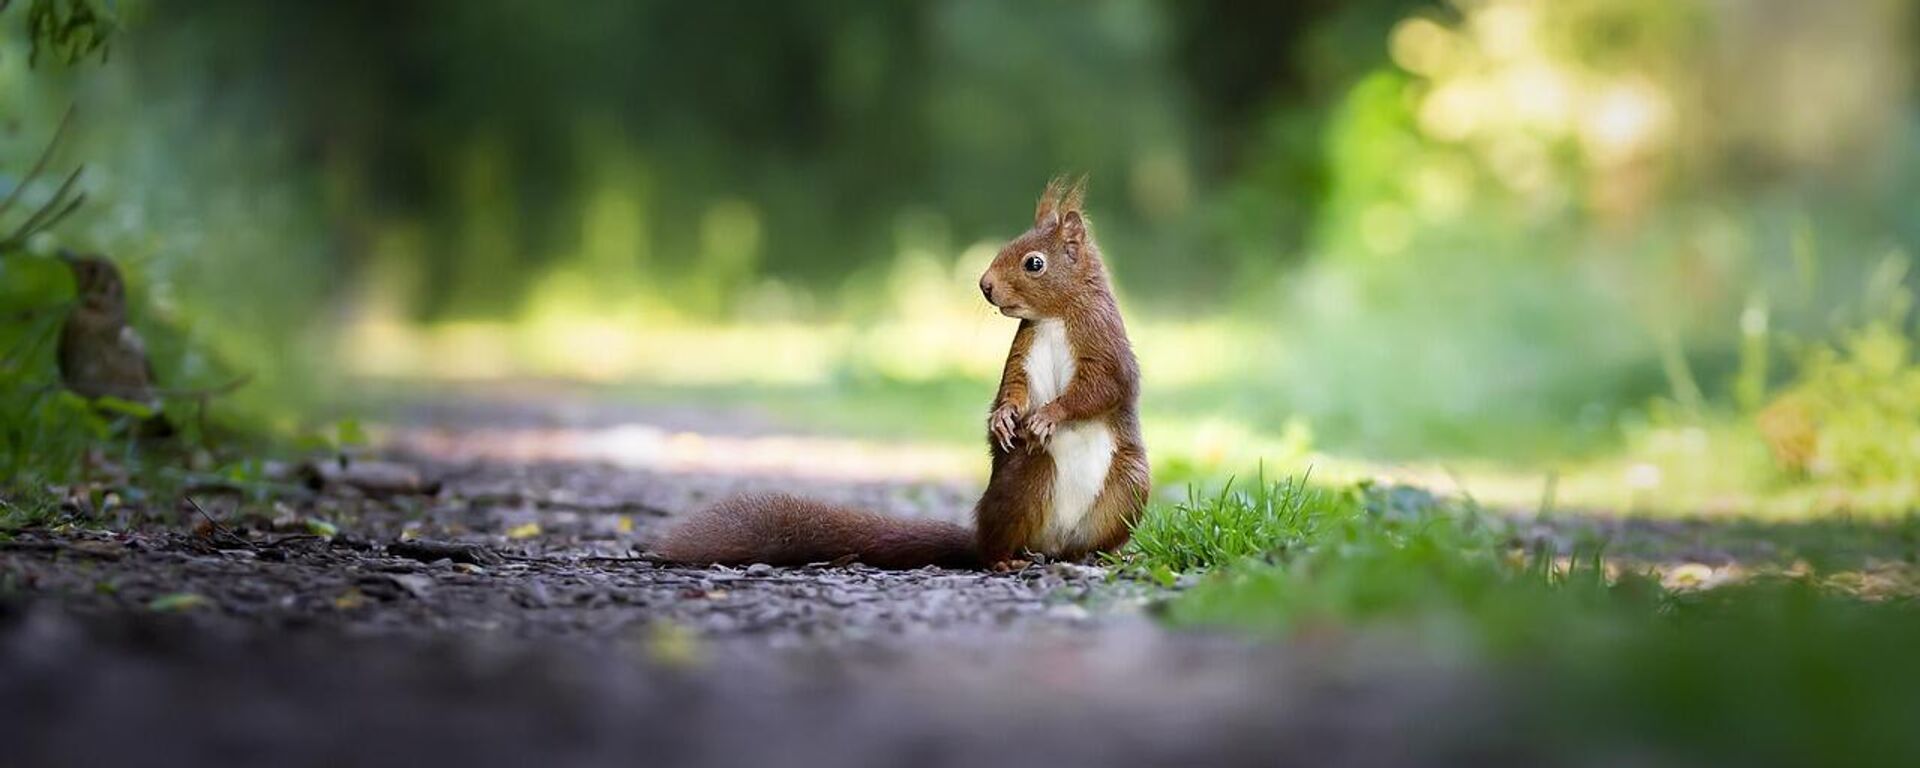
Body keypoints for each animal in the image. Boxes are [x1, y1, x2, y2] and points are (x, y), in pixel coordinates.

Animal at [652, 175, 1144, 568]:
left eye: (1034, 263)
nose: (985, 285)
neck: (1055, 317)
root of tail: (1051, 545)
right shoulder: (1023, 350)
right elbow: (1014, 387)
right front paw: (1005, 418)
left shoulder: (1103, 342)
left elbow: (1102, 388)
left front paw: (1047, 415)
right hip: (1026, 479)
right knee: (994, 545)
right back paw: (1005, 559)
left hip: (1129, 486)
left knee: (1091, 538)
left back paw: (1101, 555)